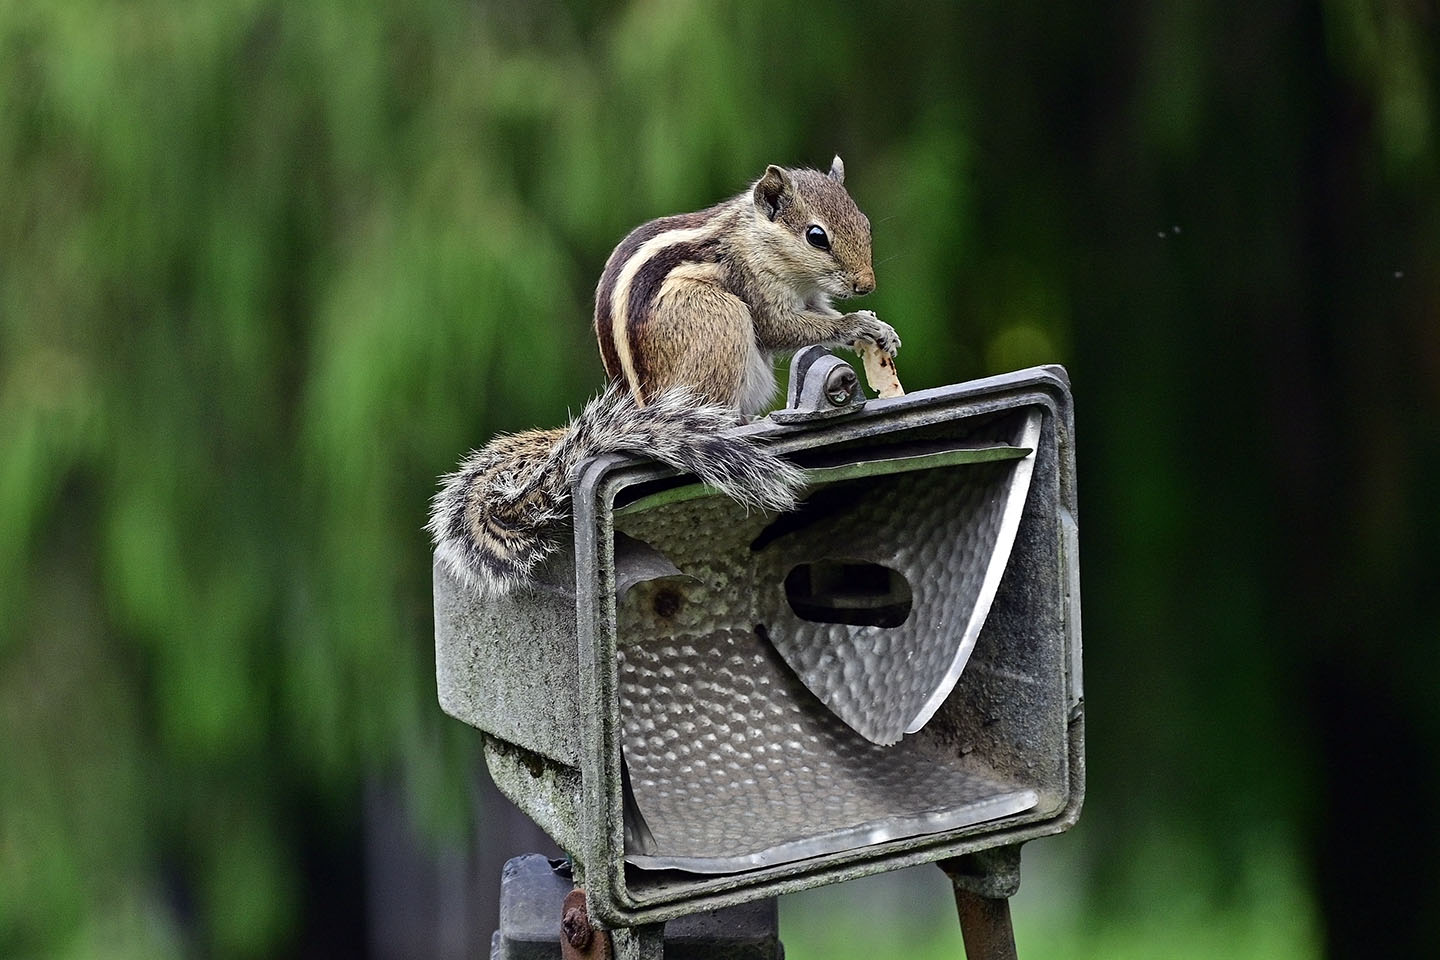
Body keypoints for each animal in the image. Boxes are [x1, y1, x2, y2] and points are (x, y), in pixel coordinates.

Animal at [429, 156, 898, 592]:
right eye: (816, 236)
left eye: (864, 222)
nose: (866, 285)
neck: (754, 238)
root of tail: (643, 406)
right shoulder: (755, 289)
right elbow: (782, 327)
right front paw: (856, 324)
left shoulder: (810, 297)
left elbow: (820, 314)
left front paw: (880, 331)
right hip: (718, 319)